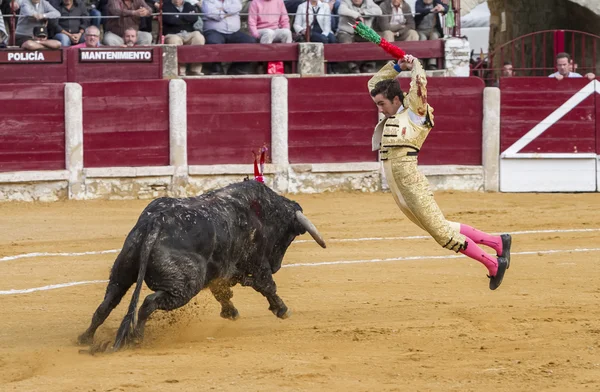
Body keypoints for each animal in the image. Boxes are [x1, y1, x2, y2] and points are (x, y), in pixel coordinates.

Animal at [79, 179, 326, 350]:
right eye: (290, 235)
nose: (277, 265)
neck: (260, 212)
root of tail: (156, 222)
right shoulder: (256, 262)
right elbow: (267, 285)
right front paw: (282, 309)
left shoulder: (220, 271)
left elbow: (222, 291)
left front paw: (230, 312)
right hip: (184, 287)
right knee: (148, 303)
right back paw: (137, 338)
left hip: (123, 269)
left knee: (107, 303)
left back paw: (85, 338)